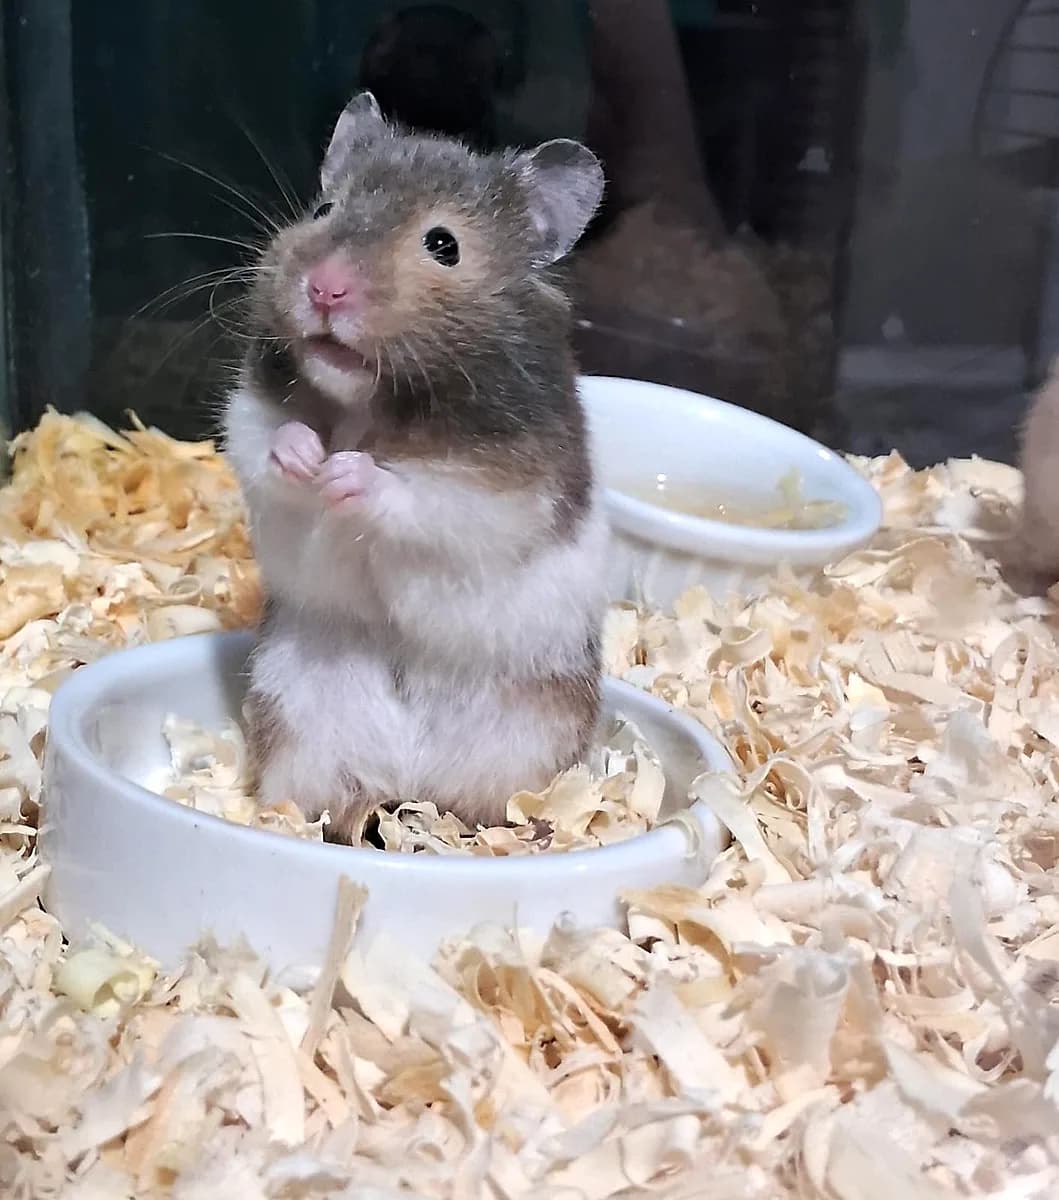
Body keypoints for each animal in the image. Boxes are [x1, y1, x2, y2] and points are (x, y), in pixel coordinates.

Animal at [222, 92, 608, 839]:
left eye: (443, 245)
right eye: (323, 209)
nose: (325, 290)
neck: (371, 401)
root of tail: (411, 770)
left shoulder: (508, 487)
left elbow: (425, 497)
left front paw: (347, 473)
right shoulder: (247, 414)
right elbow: (264, 440)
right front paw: (307, 457)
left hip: (532, 730)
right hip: (299, 705)